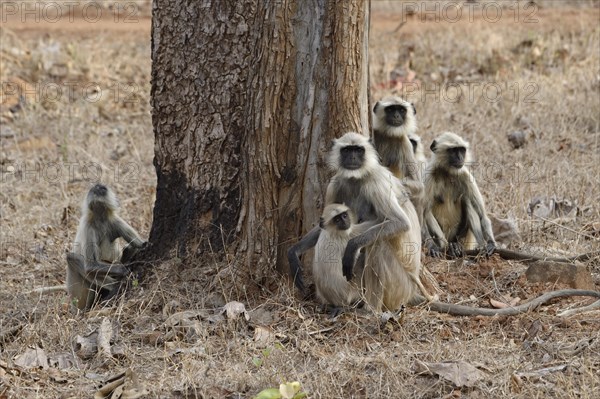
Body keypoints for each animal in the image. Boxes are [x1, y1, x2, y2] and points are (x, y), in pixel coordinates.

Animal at [67, 184, 148, 312]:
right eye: (96, 187)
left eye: (102, 188)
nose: (97, 186)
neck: (100, 218)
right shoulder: (88, 226)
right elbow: (90, 266)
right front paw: (124, 269)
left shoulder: (115, 220)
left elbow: (140, 245)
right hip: (79, 299)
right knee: (71, 257)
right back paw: (114, 288)